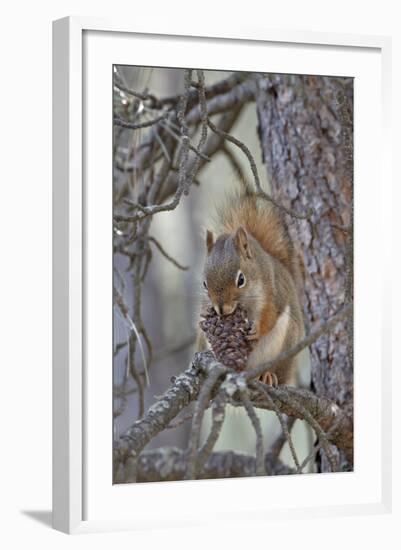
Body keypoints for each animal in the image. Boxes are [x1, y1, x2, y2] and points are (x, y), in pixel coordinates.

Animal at [198, 188, 304, 386]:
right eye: (204, 284)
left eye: (241, 280)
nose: (221, 310)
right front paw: (205, 316)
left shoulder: (274, 292)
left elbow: (270, 315)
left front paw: (257, 330)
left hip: (285, 345)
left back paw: (268, 375)